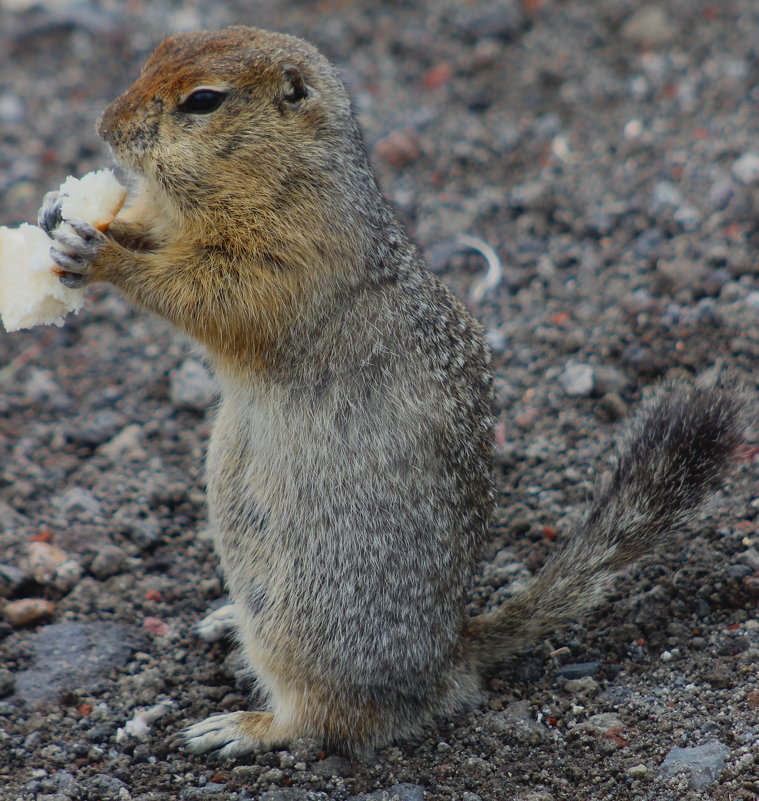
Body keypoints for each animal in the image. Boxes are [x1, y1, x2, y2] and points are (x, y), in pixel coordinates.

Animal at [38, 26, 744, 756]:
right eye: (158, 51)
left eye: (203, 101)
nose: (104, 127)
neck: (285, 176)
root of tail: (448, 659)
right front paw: (67, 213)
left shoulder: (287, 255)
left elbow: (210, 293)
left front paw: (103, 254)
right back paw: (226, 618)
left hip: (308, 627)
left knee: (327, 718)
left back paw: (240, 726)